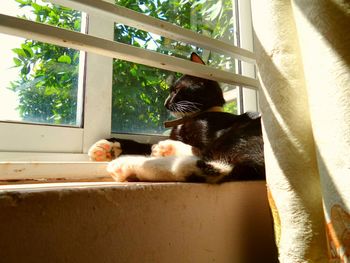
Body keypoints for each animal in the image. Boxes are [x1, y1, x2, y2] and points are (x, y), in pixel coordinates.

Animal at [88, 51, 266, 184]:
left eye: (176, 90)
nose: (165, 103)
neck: (191, 117)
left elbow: (198, 150)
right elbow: (142, 144)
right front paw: (109, 147)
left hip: (236, 136)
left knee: (213, 167)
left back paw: (129, 164)